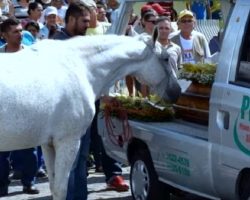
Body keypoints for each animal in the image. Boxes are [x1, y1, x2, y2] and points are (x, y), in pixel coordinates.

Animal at [0, 34, 180, 198]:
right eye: (165, 58)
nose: (176, 91)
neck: (79, 66)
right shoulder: (67, 141)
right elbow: (60, 189)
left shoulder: (48, 143)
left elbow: (53, 185)